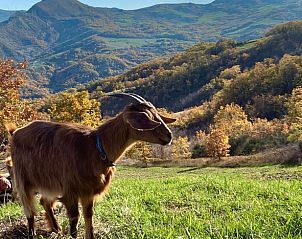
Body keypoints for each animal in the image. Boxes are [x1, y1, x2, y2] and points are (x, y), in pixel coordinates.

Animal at [5, 94, 176, 239]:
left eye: (157, 115)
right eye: (147, 118)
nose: (169, 136)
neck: (94, 147)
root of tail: (15, 132)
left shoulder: (88, 193)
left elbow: (89, 217)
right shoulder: (70, 191)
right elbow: (75, 222)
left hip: (49, 184)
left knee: (44, 202)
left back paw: (56, 228)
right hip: (23, 180)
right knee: (30, 211)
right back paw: (33, 233)